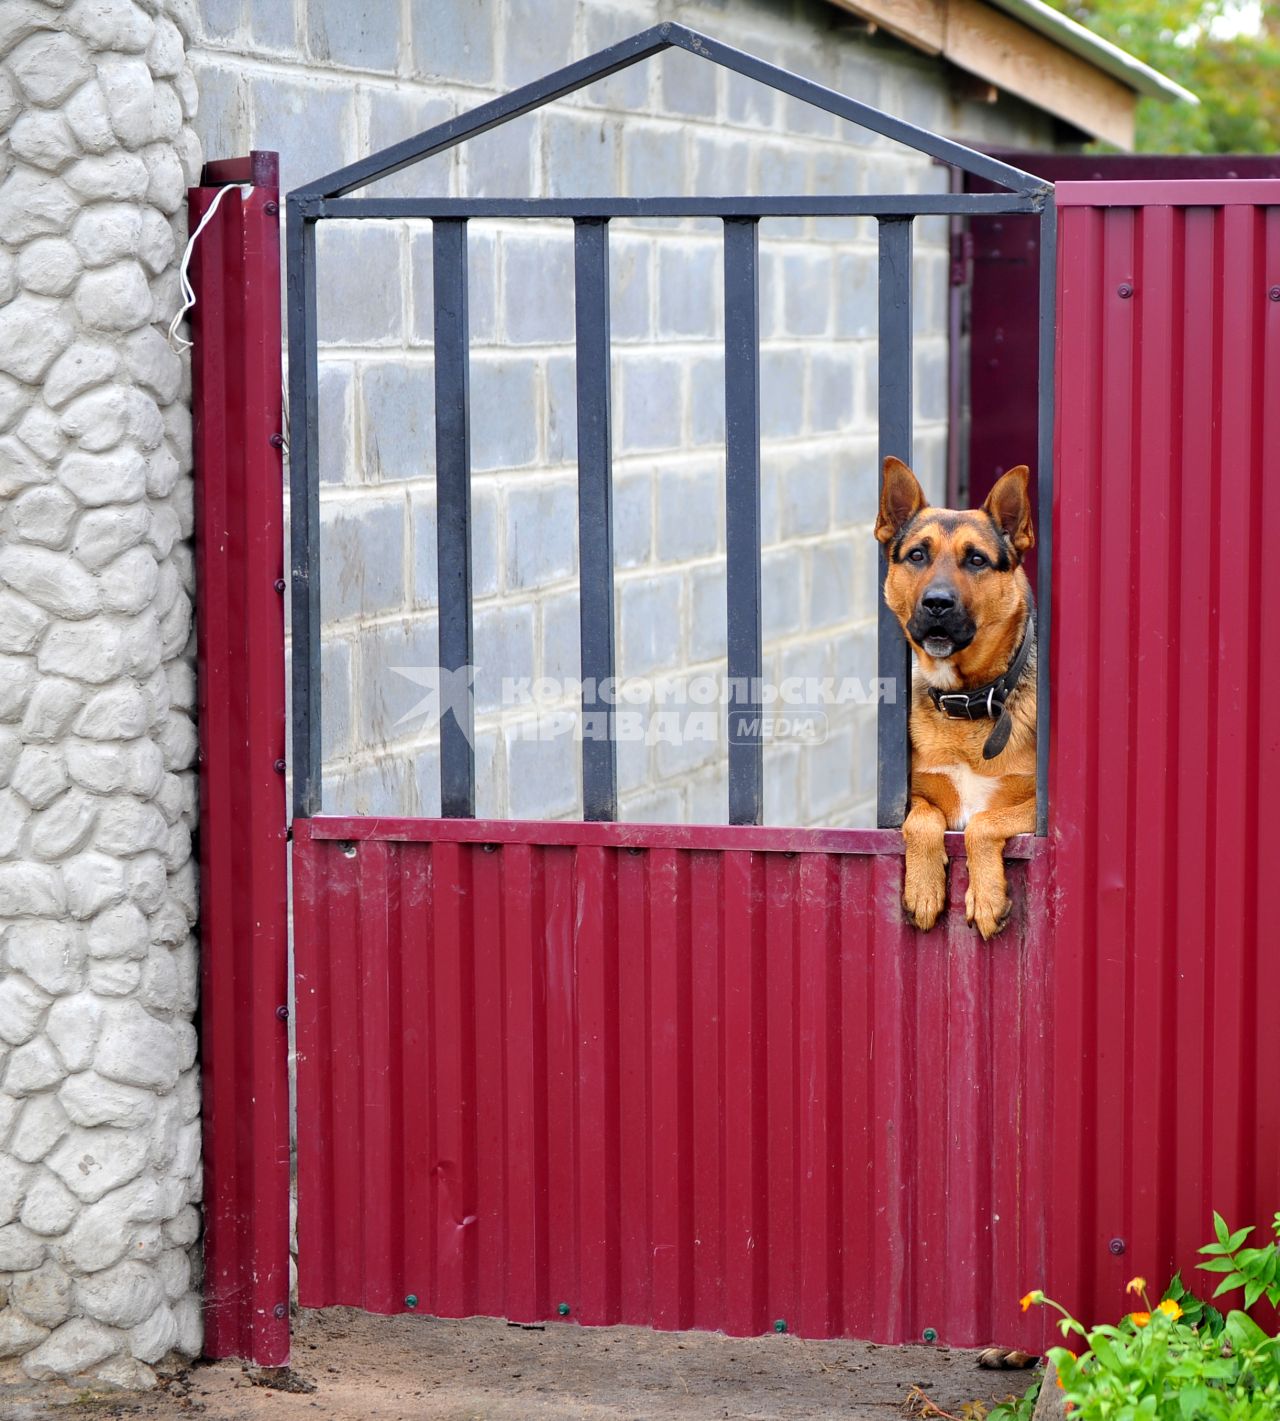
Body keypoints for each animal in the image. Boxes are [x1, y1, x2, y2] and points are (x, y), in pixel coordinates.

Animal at [875, 457, 1034, 943]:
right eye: (917, 555)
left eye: (976, 559)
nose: (937, 604)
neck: (966, 702)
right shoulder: (914, 798)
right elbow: (921, 820)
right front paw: (924, 889)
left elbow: (983, 823)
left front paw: (986, 898)